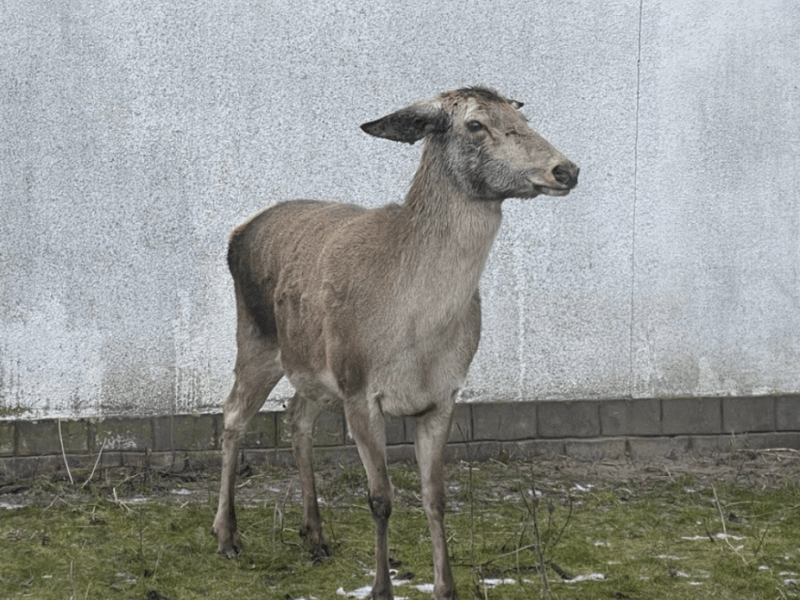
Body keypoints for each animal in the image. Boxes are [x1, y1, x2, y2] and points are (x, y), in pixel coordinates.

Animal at [209, 85, 580, 600]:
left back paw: (315, 536)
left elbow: (436, 497)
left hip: (315, 368)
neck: (418, 335)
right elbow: (380, 498)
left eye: (521, 118)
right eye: (475, 124)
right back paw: (227, 535)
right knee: (232, 415)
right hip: (258, 338)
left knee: (297, 417)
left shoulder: (444, 395)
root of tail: (238, 228)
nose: (566, 169)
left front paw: (446, 587)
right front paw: (381, 587)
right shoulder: (361, 389)